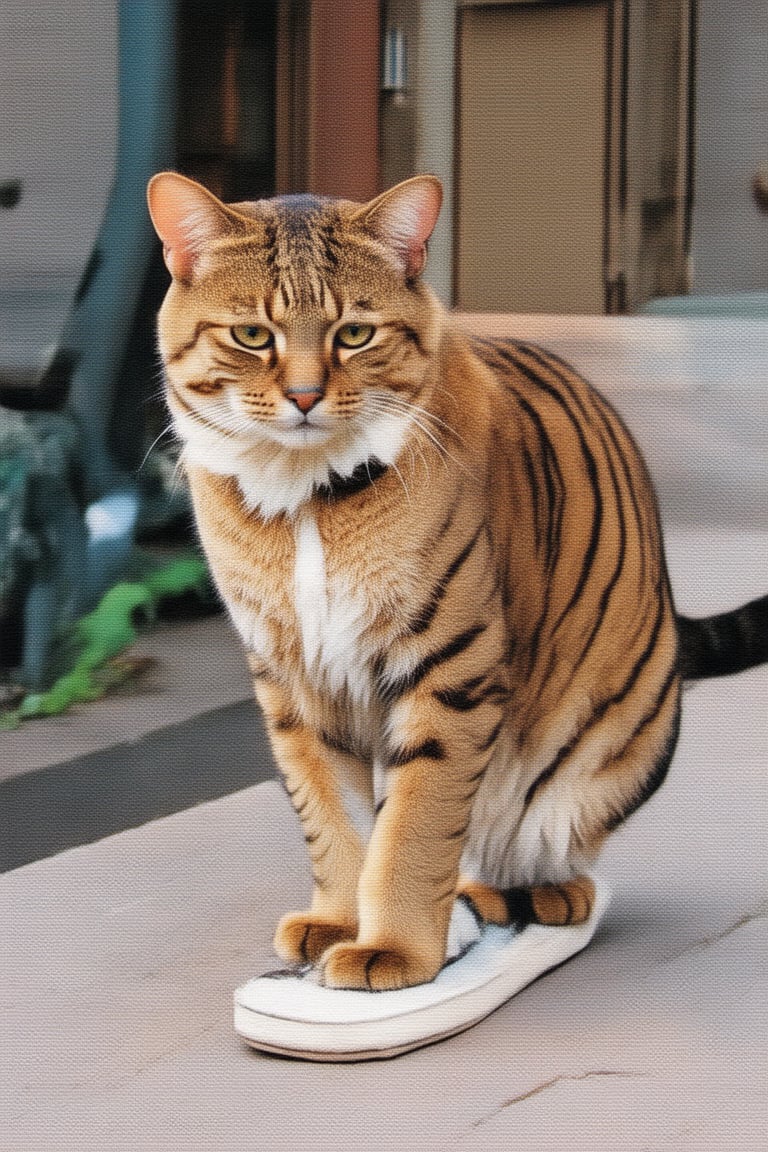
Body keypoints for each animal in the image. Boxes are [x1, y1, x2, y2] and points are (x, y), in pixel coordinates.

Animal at [147, 170, 764, 990]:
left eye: (354, 334)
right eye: (252, 336)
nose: (305, 397)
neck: (304, 493)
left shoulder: (450, 668)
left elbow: (416, 824)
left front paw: (395, 949)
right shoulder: (292, 679)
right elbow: (330, 814)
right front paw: (338, 920)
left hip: (624, 740)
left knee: (550, 848)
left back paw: (524, 891)